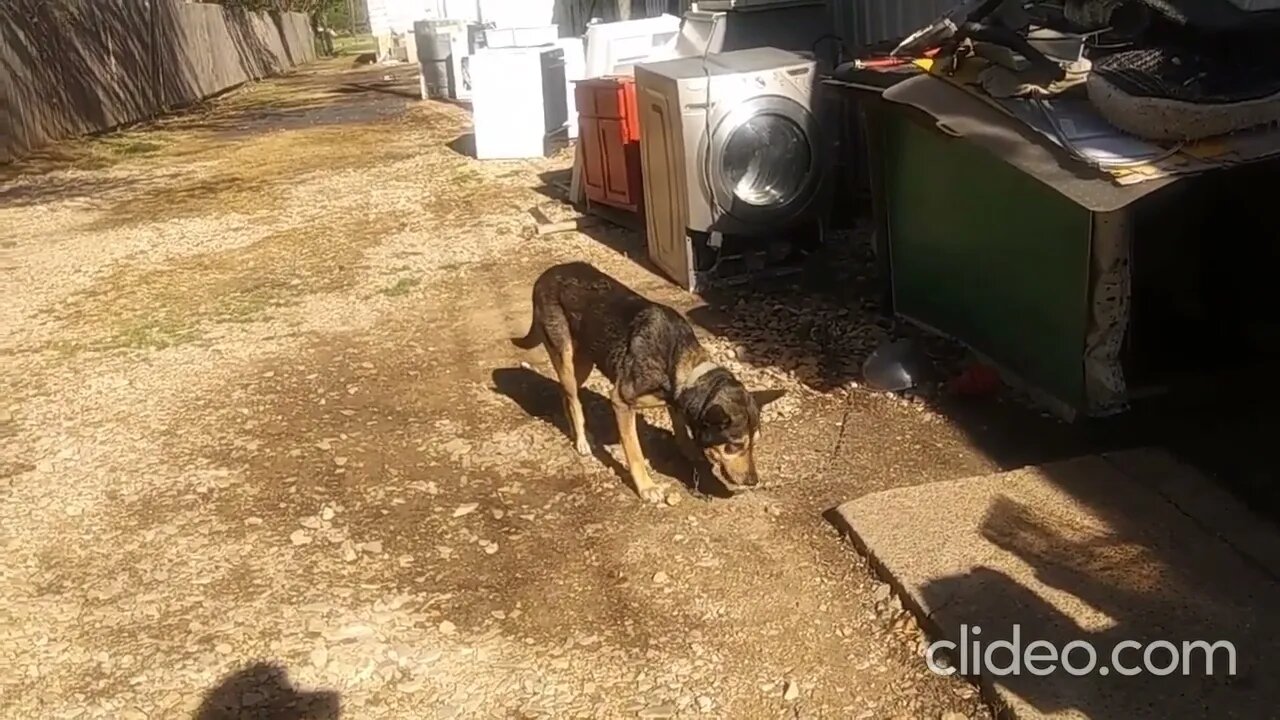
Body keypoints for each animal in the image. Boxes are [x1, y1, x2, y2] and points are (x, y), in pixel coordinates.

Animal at [509, 260, 778, 502]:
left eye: (755, 443)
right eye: (735, 445)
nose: (753, 481)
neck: (678, 359)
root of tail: (545, 274)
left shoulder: (674, 400)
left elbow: (680, 426)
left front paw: (689, 451)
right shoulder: (621, 402)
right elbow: (635, 451)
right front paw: (646, 487)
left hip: (583, 361)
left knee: (566, 395)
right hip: (564, 354)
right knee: (573, 398)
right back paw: (583, 442)